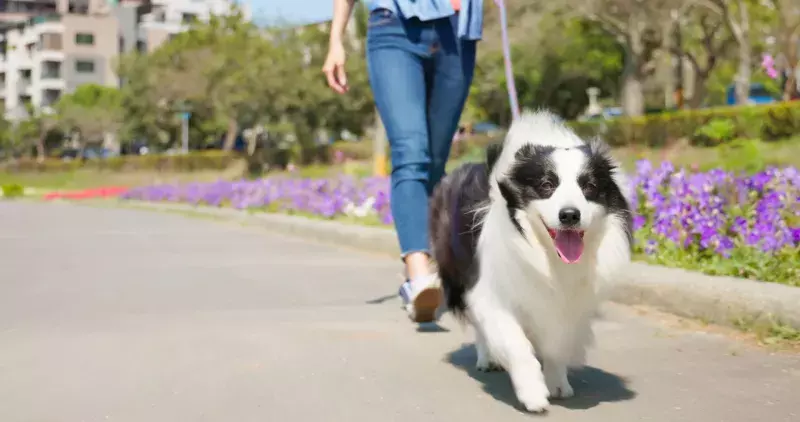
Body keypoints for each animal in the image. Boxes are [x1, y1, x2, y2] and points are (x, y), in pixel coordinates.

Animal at [432, 110, 632, 414]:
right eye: (547, 185)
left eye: (589, 187)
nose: (569, 215)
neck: (547, 255)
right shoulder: (491, 291)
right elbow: (516, 343)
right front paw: (533, 393)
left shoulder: (570, 304)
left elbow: (557, 342)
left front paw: (557, 381)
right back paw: (487, 358)